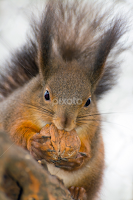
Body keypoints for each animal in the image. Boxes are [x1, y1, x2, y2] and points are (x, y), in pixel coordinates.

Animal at [0, 0, 125, 200]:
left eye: (88, 101)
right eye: (46, 94)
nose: (65, 123)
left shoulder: (93, 130)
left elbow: (89, 151)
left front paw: (77, 160)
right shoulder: (15, 112)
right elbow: (14, 133)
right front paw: (34, 144)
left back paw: (77, 191)